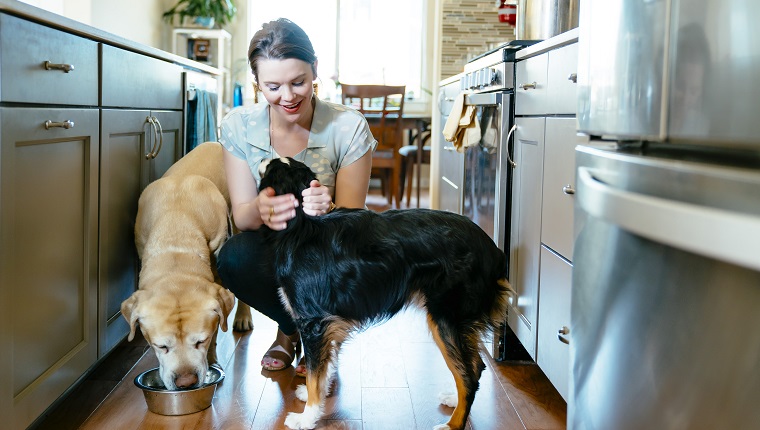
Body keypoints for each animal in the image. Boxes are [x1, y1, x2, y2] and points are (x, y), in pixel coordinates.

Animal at [256, 157, 510, 430]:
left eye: (271, 167)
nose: (262, 158)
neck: (302, 224)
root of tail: (493, 250)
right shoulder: (328, 324)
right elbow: (323, 370)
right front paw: (314, 400)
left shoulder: (314, 324)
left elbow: (315, 375)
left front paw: (307, 417)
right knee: (475, 366)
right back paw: (454, 400)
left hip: (445, 318)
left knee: (468, 376)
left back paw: (452, 425)